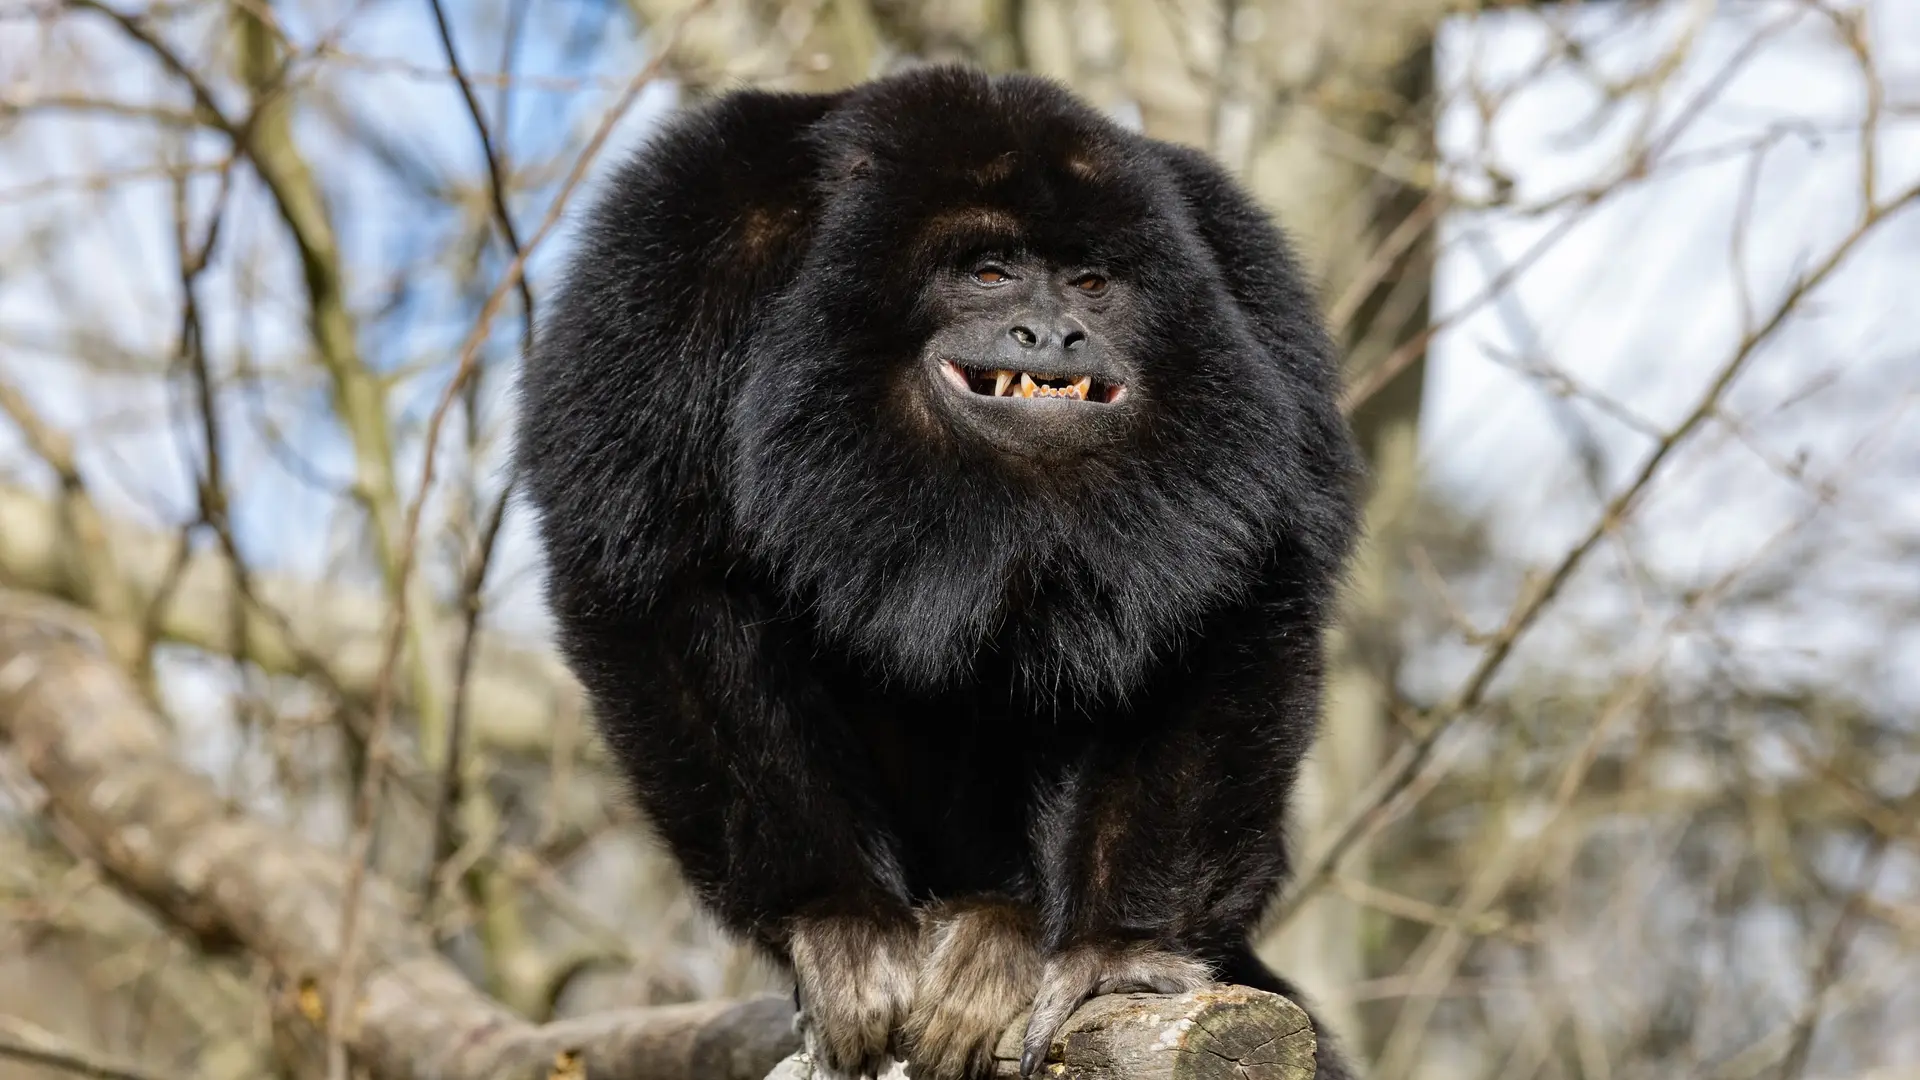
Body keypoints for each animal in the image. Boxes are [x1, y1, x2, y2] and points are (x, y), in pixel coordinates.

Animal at [514, 65, 1363, 1080]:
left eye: (1091, 283)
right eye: (988, 272)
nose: (1054, 334)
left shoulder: (1247, 286)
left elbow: (1232, 605)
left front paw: (1115, 949)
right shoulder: (679, 247)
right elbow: (667, 582)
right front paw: (840, 920)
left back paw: (1005, 929)